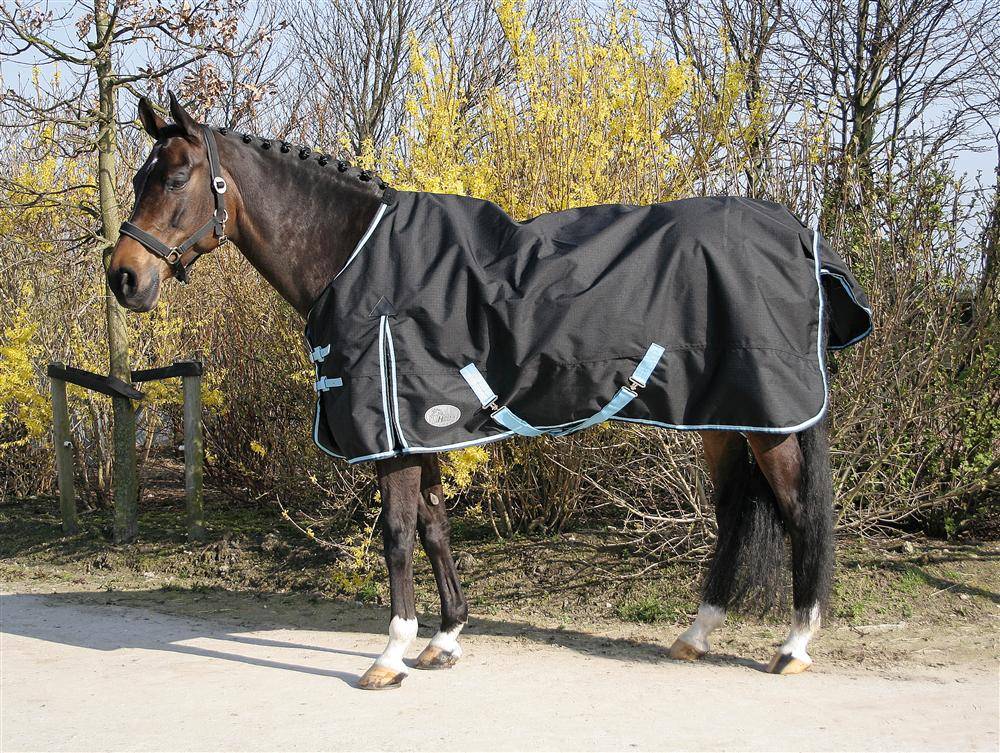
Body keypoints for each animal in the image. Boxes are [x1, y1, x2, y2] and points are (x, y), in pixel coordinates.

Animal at [108, 92, 860, 689]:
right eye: (140, 176)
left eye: (174, 177)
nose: (124, 277)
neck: (356, 256)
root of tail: (801, 238)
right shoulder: (422, 427)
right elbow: (436, 526)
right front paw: (444, 639)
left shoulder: (393, 434)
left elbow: (399, 535)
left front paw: (390, 654)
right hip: (723, 421)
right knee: (735, 515)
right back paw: (696, 635)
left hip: (772, 420)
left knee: (802, 514)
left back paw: (793, 647)